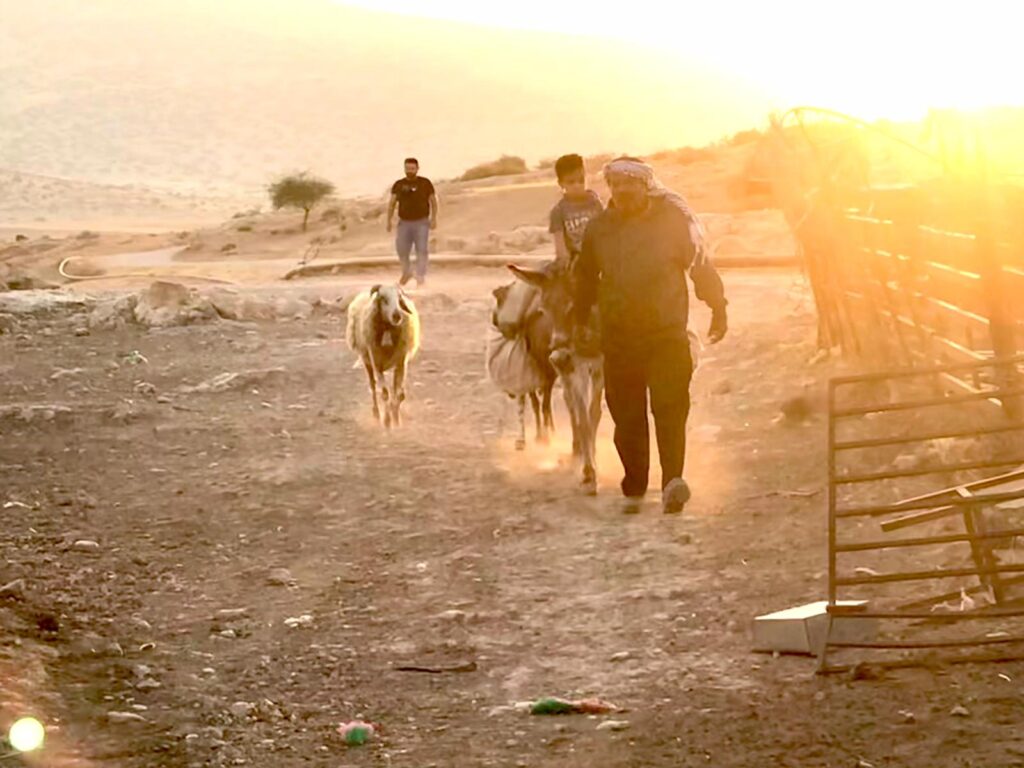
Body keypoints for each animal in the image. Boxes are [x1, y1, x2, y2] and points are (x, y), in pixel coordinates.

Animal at [348, 284, 419, 428]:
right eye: (383, 298)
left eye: (399, 298)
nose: (397, 316)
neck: (387, 331)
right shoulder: (377, 365)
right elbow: (385, 393)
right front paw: (387, 421)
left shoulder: (401, 363)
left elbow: (400, 395)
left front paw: (396, 419)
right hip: (367, 362)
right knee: (373, 386)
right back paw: (376, 413)